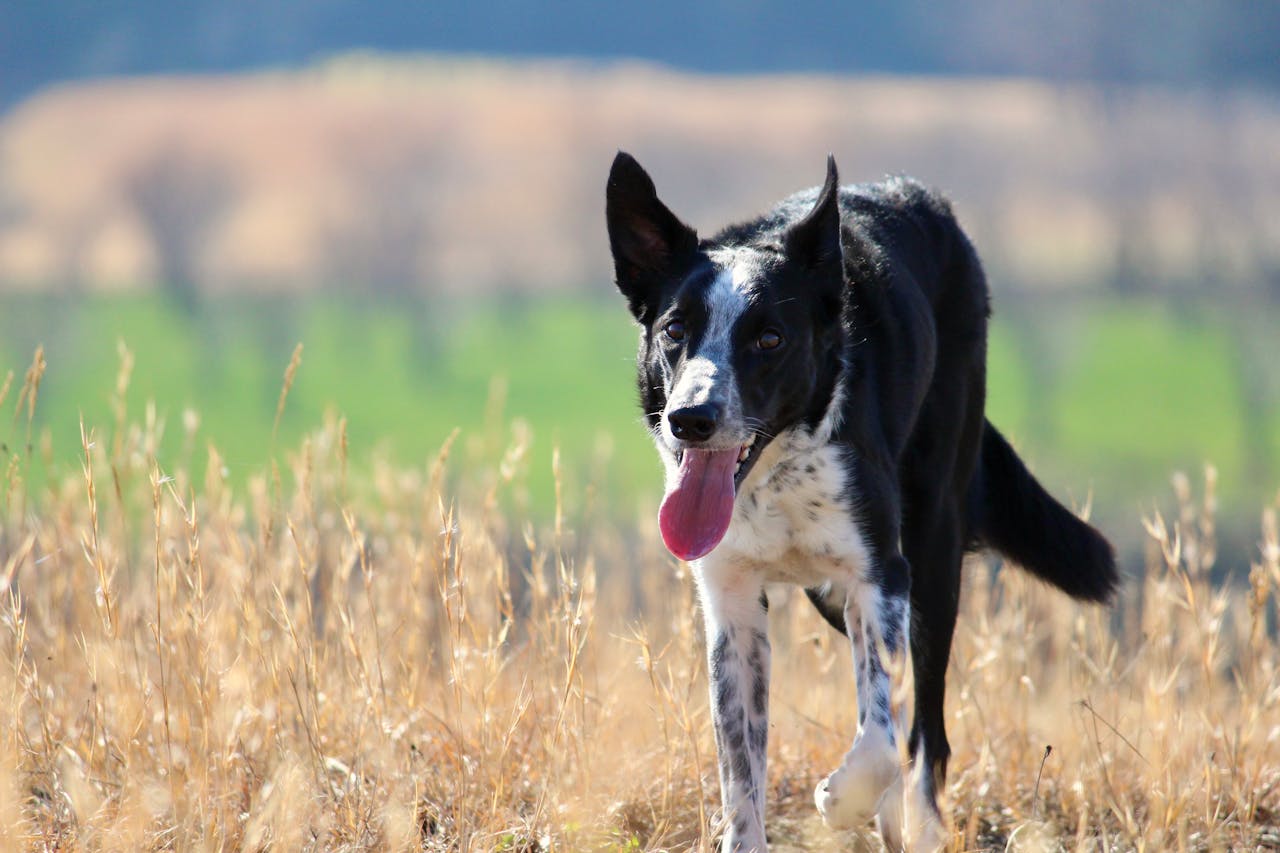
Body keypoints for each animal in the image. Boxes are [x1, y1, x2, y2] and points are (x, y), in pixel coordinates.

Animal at [604, 153, 1116, 850]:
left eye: (770, 339)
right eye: (675, 330)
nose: (691, 419)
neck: (779, 474)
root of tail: (923, 197)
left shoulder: (883, 574)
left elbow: (881, 739)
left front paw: (841, 800)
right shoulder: (732, 605)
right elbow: (741, 776)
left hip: (932, 553)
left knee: (924, 730)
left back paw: (916, 822)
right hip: (837, 598)